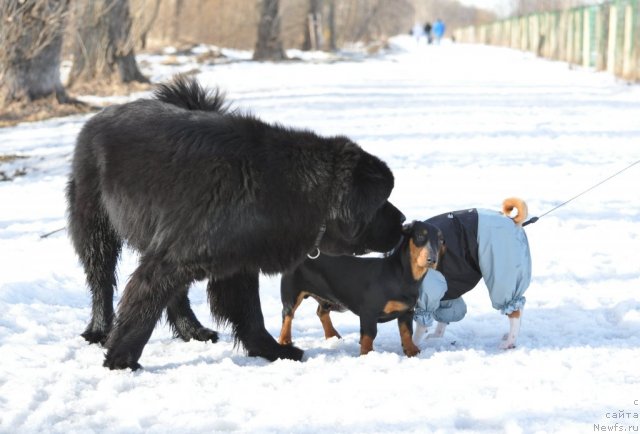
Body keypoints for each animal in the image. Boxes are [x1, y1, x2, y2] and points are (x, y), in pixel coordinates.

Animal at [66, 74, 404, 370]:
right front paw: (120, 359)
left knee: (176, 294)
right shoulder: (173, 257)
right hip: (97, 229)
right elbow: (142, 308)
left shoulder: (236, 264)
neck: (287, 187)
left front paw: (271, 350)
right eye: (380, 203)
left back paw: (192, 330)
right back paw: (99, 330)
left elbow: (250, 314)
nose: (402, 221)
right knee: (102, 281)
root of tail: (99, 116)